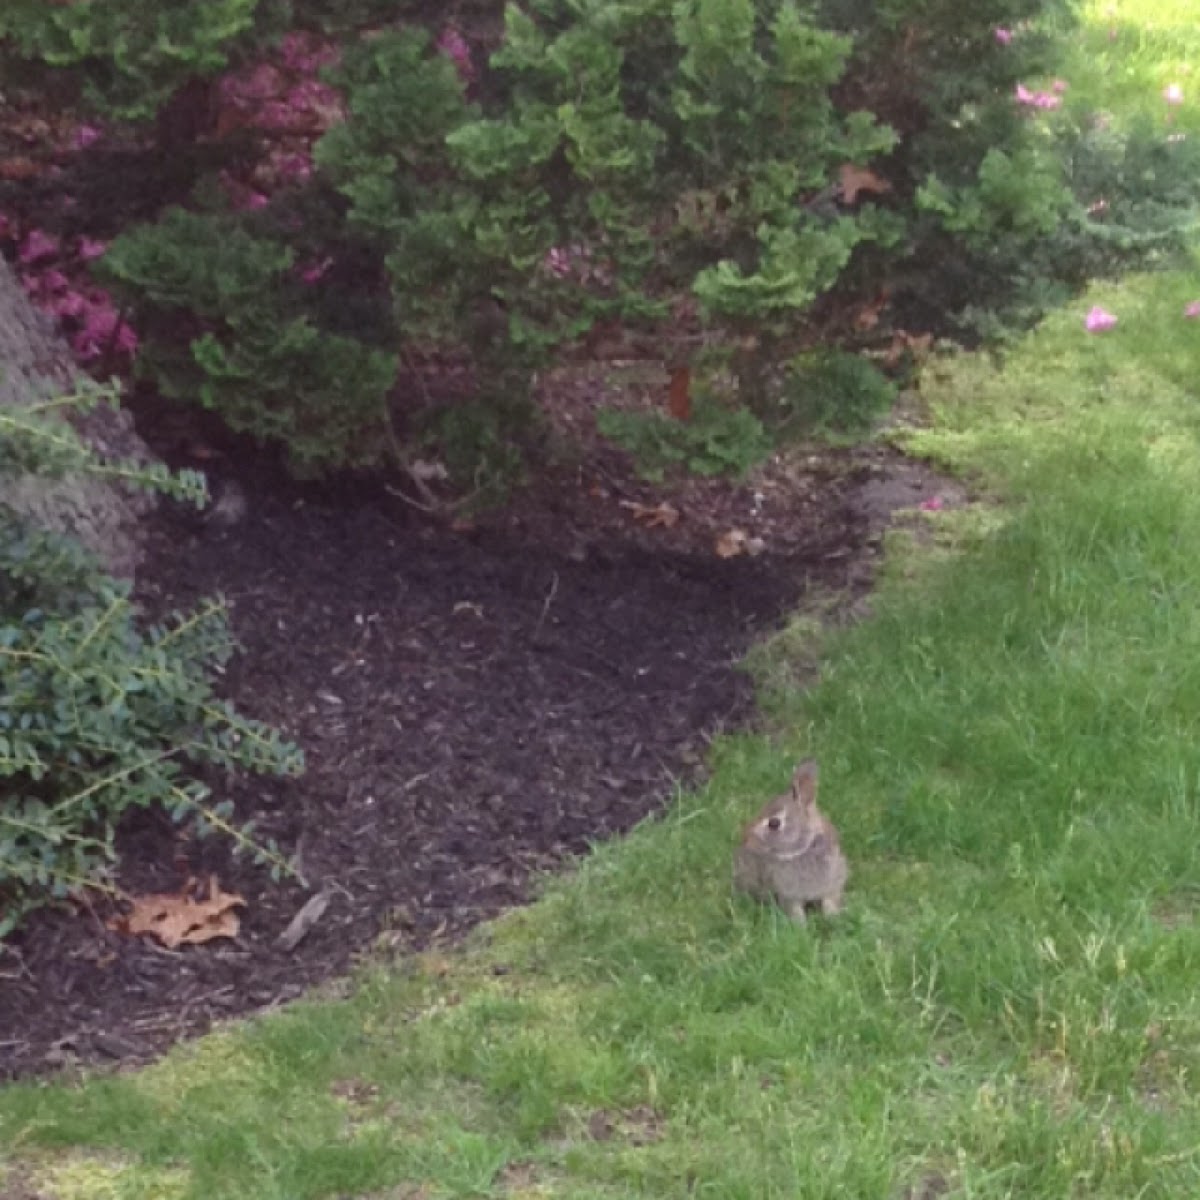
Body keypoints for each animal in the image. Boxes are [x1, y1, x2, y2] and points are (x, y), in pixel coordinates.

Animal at [734, 763, 849, 921]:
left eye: (774, 823)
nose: (746, 840)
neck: (805, 847)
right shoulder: (788, 894)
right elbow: (794, 909)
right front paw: (800, 923)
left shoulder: (833, 883)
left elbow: (830, 900)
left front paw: (833, 917)